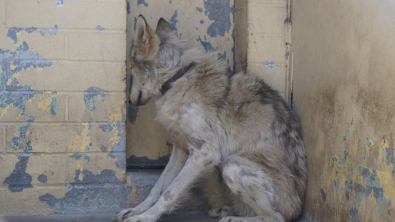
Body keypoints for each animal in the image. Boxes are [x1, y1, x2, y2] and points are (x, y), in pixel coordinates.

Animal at [116, 15, 308, 222]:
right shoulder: (181, 150)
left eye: (132, 67)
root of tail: (297, 208)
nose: (129, 101)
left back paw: (233, 218)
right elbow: (158, 187)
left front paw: (145, 217)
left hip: (232, 164)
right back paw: (224, 210)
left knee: (274, 217)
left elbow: (170, 192)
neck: (177, 77)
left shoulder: (204, 154)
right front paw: (136, 210)